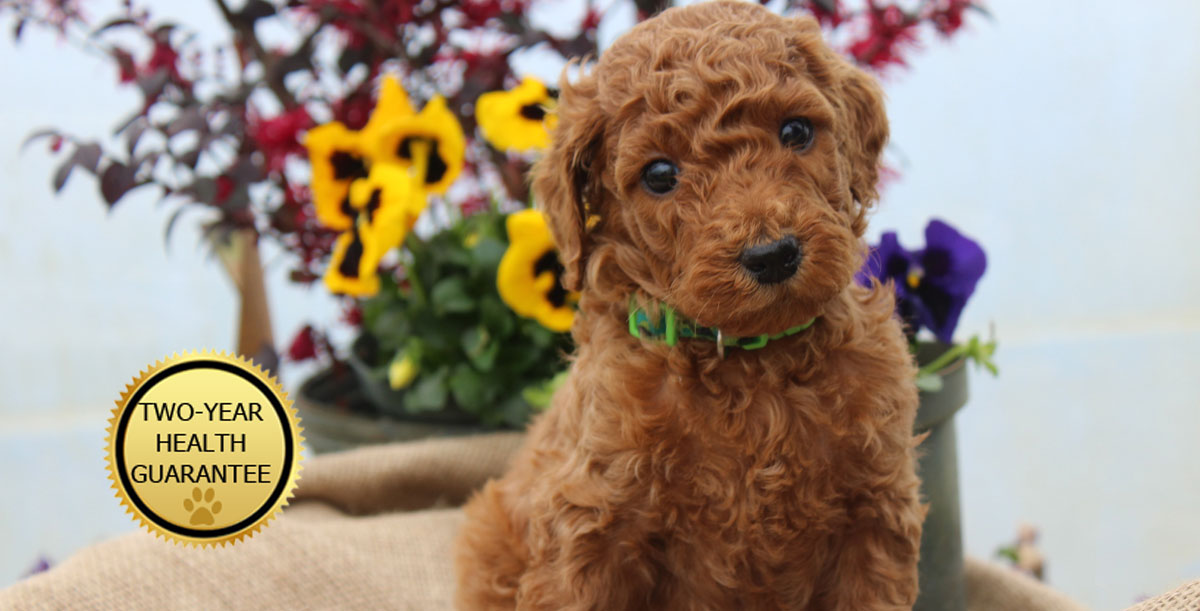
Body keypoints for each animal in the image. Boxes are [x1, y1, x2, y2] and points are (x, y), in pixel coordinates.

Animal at [453, 2, 921, 607]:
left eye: (796, 130)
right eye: (659, 175)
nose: (771, 255)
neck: (752, 365)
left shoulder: (874, 511)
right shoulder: (593, 520)